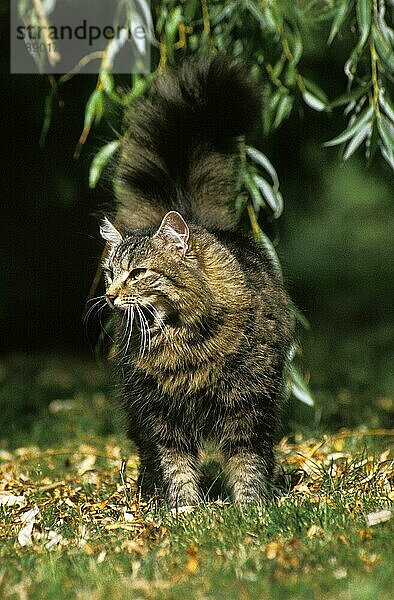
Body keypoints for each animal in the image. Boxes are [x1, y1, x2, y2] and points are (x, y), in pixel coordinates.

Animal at [98, 56, 292, 508]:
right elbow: (175, 464)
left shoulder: (248, 404)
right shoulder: (158, 412)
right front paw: (185, 508)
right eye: (111, 273)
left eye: (138, 273)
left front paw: (251, 507)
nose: (110, 296)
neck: (181, 341)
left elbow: (247, 460)